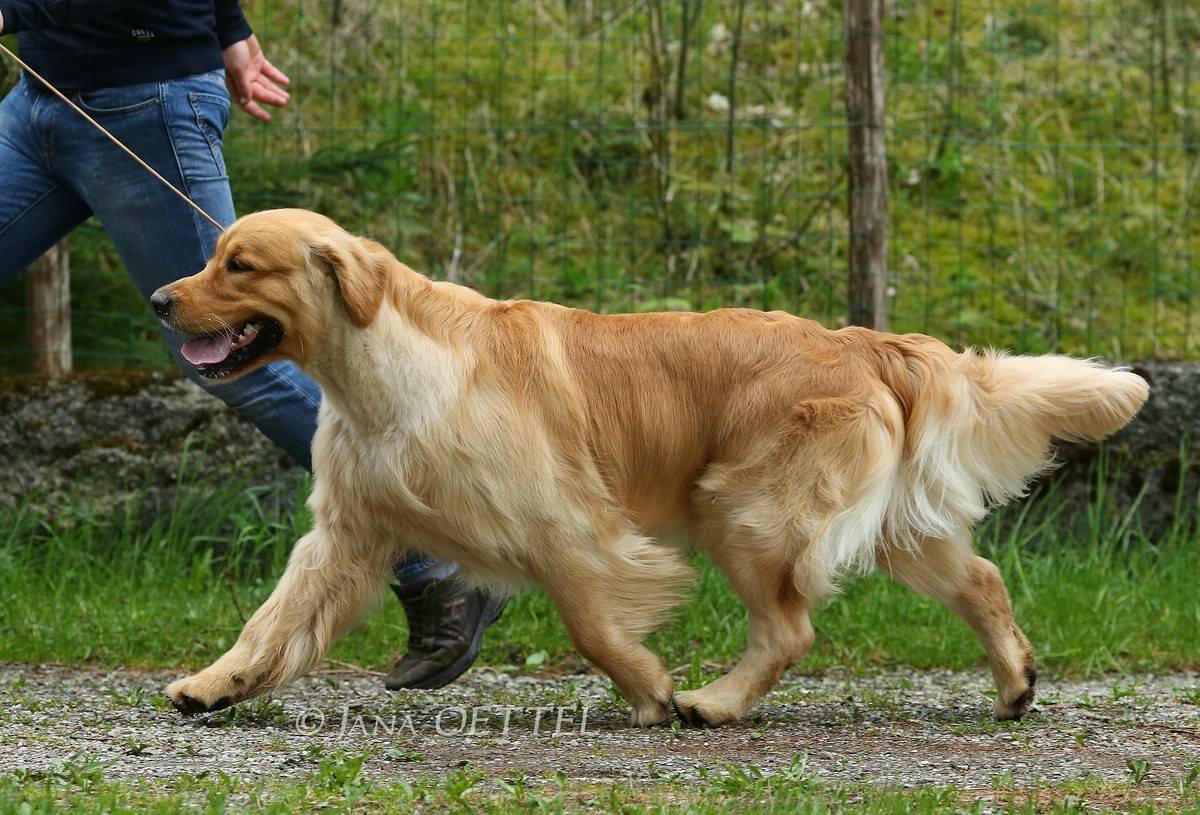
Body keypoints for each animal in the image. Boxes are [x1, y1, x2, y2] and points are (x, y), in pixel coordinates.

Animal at [154, 210, 1147, 724]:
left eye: (239, 264)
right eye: (213, 255)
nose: (161, 298)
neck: (383, 369)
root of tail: (864, 339)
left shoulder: (568, 526)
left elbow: (594, 625)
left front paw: (652, 690)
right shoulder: (347, 532)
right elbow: (272, 621)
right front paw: (214, 683)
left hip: (744, 508)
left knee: (791, 629)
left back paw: (717, 700)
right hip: (880, 524)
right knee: (980, 578)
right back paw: (1016, 684)